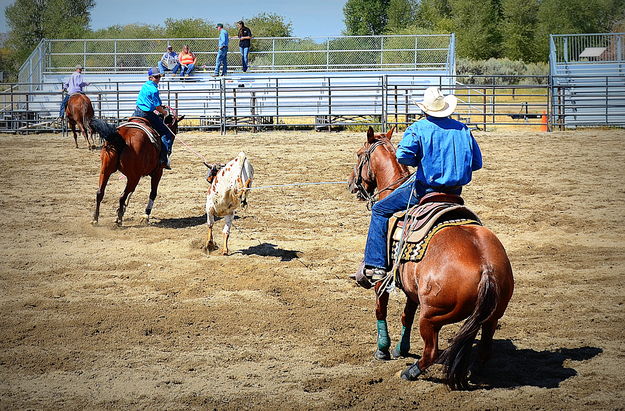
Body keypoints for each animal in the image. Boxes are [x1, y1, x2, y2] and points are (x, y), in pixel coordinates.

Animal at [346, 127, 512, 392]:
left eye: (359, 154)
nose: (352, 184)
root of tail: (486, 268)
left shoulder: (382, 281)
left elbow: (380, 309)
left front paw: (383, 349)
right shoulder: (411, 289)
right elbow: (406, 314)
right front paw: (400, 349)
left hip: (433, 316)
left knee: (432, 351)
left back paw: (410, 372)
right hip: (492, 316)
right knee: (484, 349)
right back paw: (472, 373)